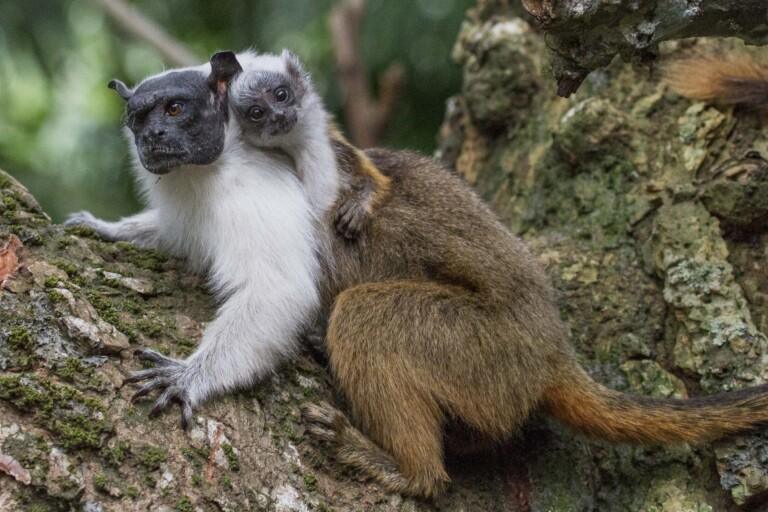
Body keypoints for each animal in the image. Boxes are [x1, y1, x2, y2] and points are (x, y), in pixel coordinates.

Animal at [65, 52, 338, 429]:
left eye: (175, 109)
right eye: (138, 119)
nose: (152, 135)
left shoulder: (254, 189)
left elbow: (277, 289)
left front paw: (189, 377)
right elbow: (176, 237)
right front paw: (105, 228)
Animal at [224, 51, 768, 498]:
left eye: (279, 97)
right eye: (256, 112)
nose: (278, 117)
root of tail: (551, 352)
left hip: (488, 350)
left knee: (367, 315)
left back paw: (410, 471)